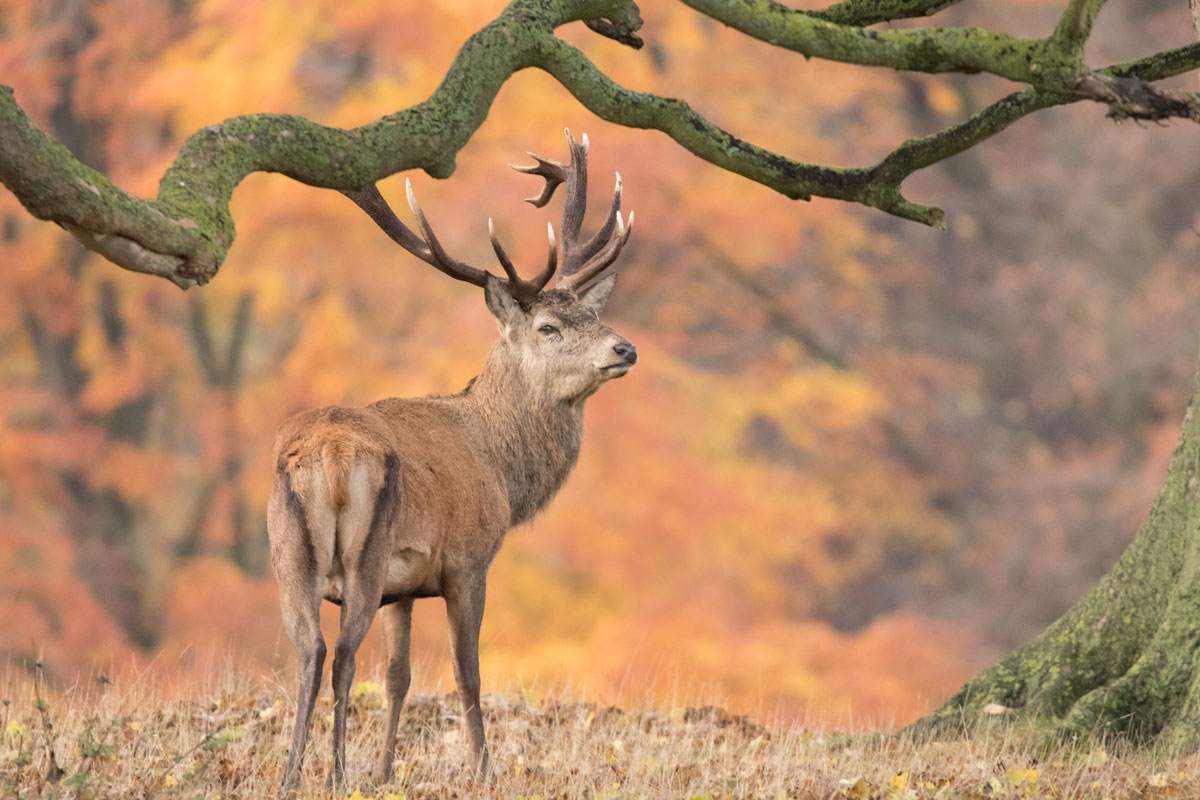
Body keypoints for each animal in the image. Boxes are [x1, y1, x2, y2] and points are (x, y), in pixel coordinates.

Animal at [267, 129, 637, 794]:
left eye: (592, 314)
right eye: (548, 327)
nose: (625, 348)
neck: (501, 469)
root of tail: (329, 454)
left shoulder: (404, 586)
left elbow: (399, 676)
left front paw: (386, 770)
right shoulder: (468, 560)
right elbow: (468, 672)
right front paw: (484, 770)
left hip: (287, 552)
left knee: (310, 651)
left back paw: (291, 777)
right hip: (364, 553)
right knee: (341, 655)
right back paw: (334, 775)